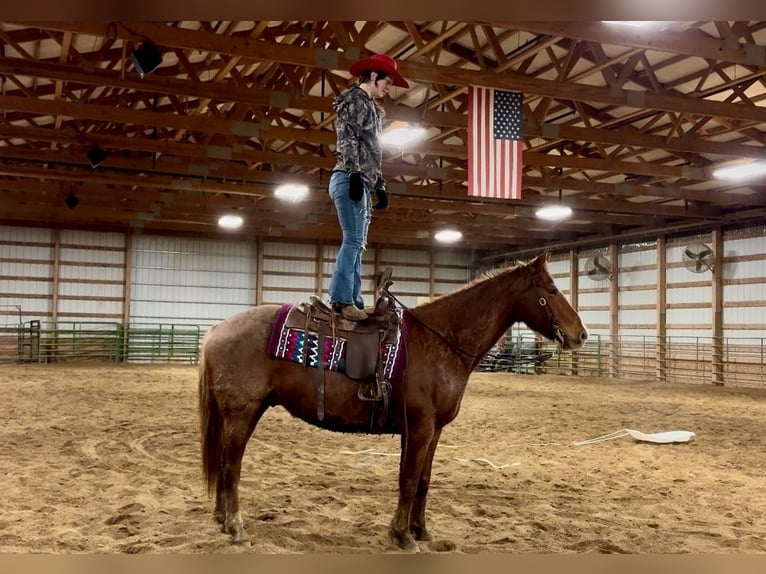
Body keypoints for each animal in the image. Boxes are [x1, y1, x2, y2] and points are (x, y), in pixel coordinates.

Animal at [196, 252, 588, 552]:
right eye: (552, 289)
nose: (580, 334)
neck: (439, 341)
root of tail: (216, 330)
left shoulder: (432, 431)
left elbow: (423, 480)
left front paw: (420, 530)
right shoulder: (419, 427)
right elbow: (409, 479)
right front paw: (402, 536)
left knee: (225, 463)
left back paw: (222, 520)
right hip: (242, 413)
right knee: (231, 465)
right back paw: (236, 528)